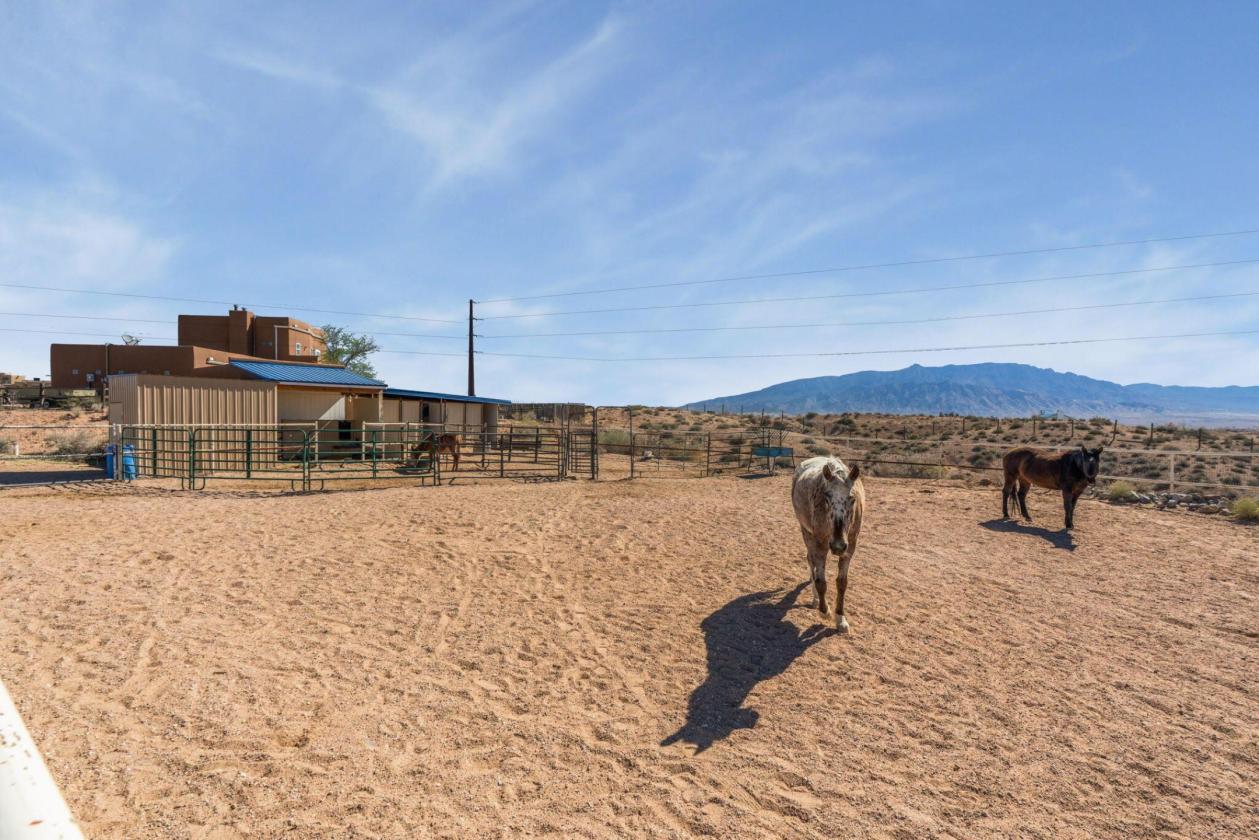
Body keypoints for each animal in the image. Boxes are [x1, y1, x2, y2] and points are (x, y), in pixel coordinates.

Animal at [791, 456, 865, 632]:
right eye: (827, 497)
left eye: (852, 499)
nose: (837, 546)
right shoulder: (820, 544)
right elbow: (821, 581)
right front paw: (824, 611)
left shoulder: (850, 546)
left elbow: (842, 583)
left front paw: (841, 619)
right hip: (806, 532)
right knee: (810, 562)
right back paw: (816, 599)